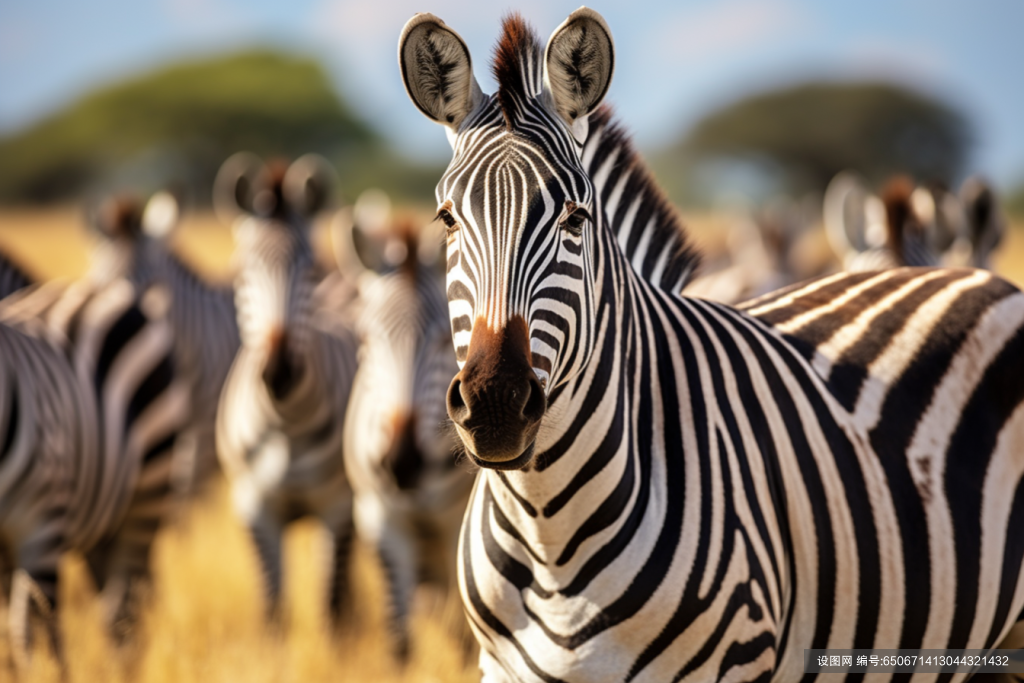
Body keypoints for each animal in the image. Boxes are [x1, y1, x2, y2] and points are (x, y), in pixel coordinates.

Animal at [0, 274, 187, 651]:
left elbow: (25, 633)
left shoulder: (39, 522)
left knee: (121, 616)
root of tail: (101, 286)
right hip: (100, 523)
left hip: (144, 496)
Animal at [215, 153, 360, 626]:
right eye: (242, 275)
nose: (279, 373)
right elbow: (273, 609)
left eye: (309, 272)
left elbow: (330, 608)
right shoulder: (253, 507)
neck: (287, 426)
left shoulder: (339, 506)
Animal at [342, 216, 473, 659]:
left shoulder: (457, 528)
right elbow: (399, 641)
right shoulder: (381, 518)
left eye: (443, 341)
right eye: (366, 340)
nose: (402, 463)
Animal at [397, 12, 1024, 683]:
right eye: (447, 220)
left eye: (576, 218)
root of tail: (977, 275)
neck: (549, 534)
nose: (495, 405)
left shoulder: (736, 660)